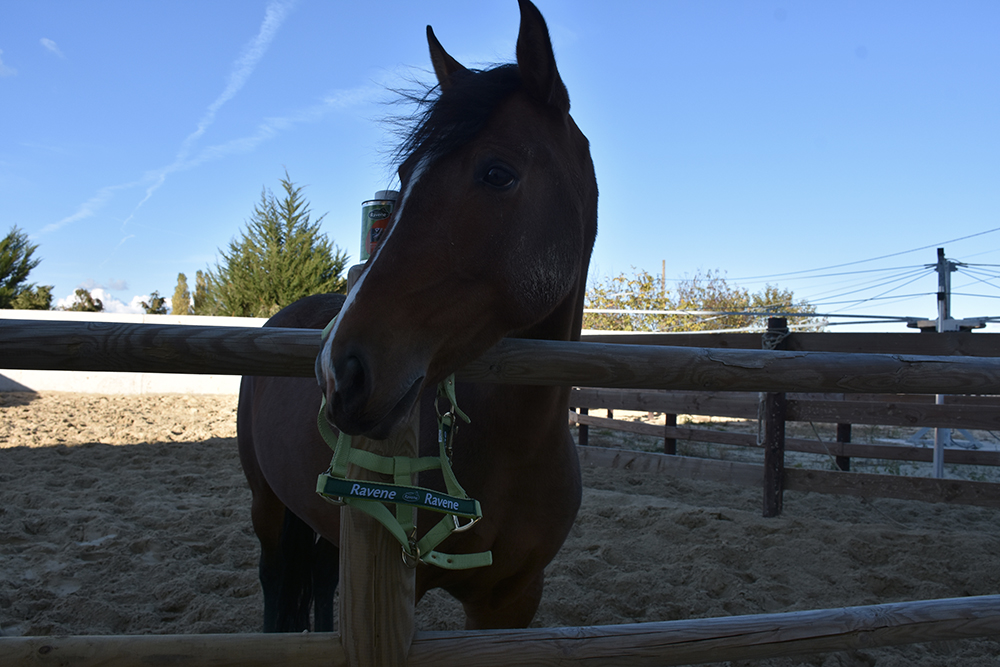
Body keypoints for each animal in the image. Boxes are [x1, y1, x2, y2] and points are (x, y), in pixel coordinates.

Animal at [236, 0, 592, 632]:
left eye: (497, 173)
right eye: (404, 178)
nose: (339, 372)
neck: (517, 444)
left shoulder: (513, 603)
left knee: (321, 578)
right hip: (268, 505)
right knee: (278, 583)